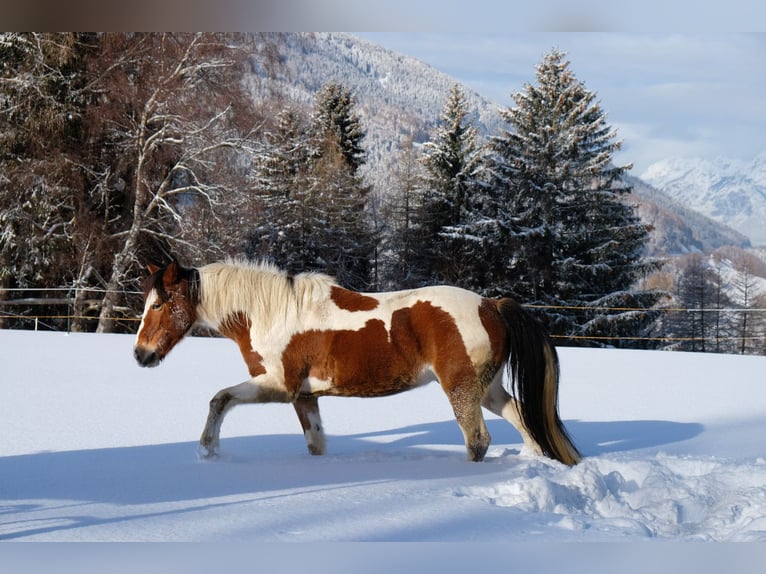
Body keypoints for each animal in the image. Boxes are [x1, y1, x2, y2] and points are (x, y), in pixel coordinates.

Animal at [134, 260, 584, 468]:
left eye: (157, 304)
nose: (140, 354)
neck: (269, 313)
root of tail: (492, 304)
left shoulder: (279, 385)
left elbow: (219, 399)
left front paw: (207, 450)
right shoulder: (304, 396)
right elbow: (315, 443)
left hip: (461, 388)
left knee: (477, 440)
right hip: (486, 390)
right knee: (522, 417)